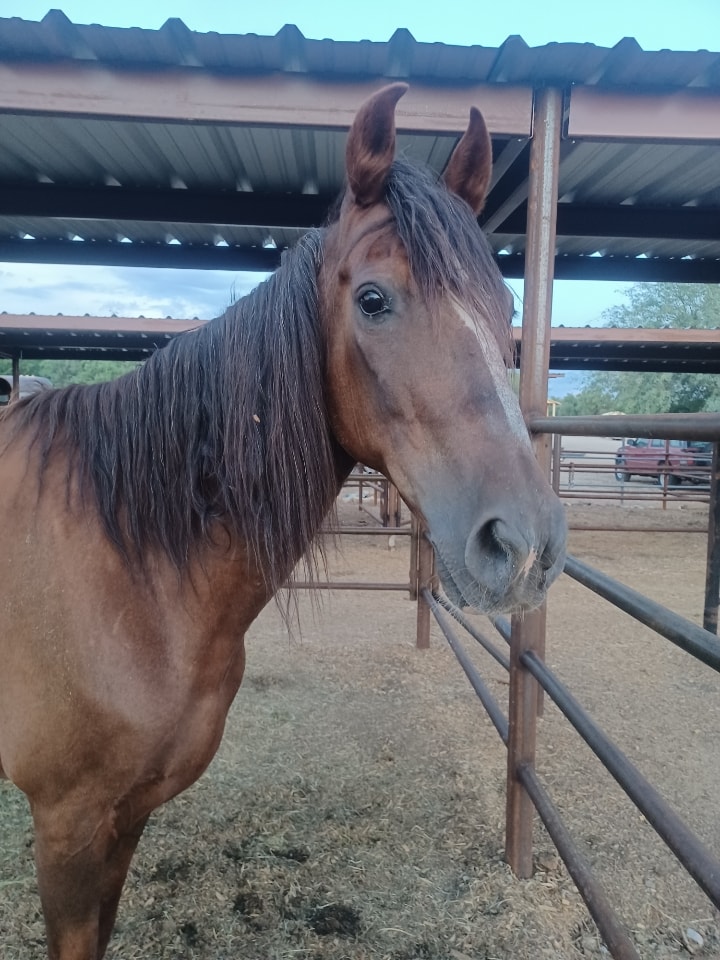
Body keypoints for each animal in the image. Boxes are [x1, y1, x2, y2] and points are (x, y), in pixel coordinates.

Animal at [0, 83, 567, 960]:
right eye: (373, 299)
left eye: (505, 305)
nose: (525, 544)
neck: (126, 563)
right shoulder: (66, 825)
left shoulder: (121, 820)